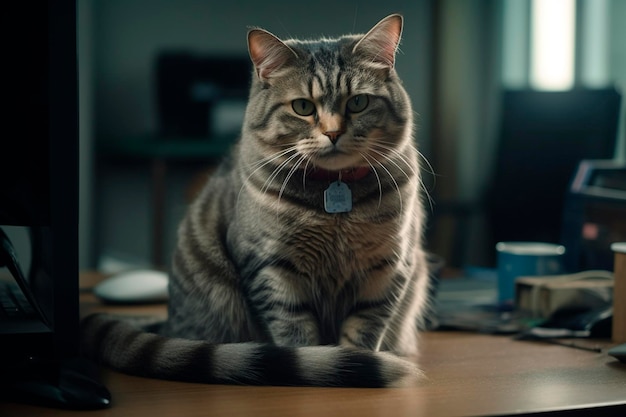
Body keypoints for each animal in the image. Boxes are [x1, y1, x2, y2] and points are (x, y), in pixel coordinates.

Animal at [81, 13, 428, 390]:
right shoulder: (270, 265)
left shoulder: (389, 264)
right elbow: (296, 333)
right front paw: (324, 367)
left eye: (358, 102)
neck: (333, 196)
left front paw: (358, 361)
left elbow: (366, 326)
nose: (333, 133)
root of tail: (168, 323)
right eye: (303, 107)